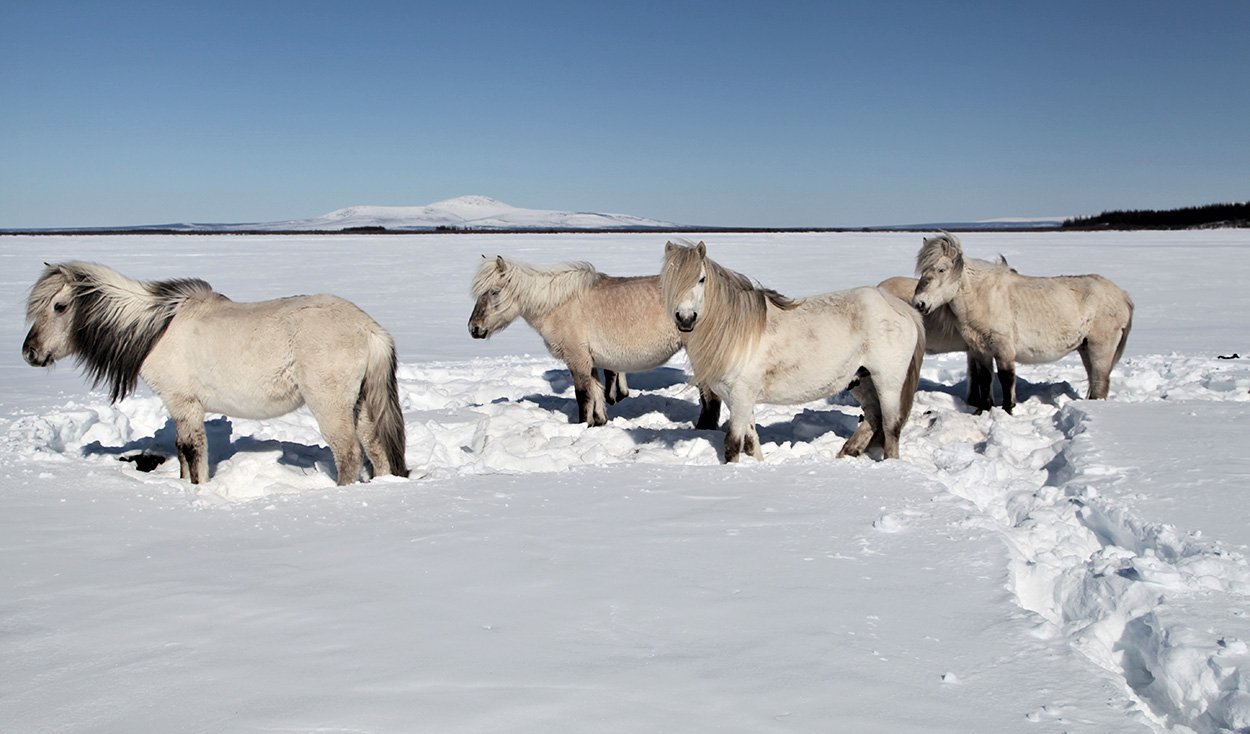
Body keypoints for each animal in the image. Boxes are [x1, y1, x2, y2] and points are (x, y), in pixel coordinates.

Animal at [22, 262, 409, 485]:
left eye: (59, 306)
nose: (29, 352)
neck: (156, 328)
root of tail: (369, 329)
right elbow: (182, 452)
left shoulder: (184, 404)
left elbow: (192, 452)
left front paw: (197, 489)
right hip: (360, 404)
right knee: (376, 450)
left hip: (331, 406)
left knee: (349, 454)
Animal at [468, 255, 721, 429]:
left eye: (494, 291)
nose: (474, 328)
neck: (560, 304)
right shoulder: (591, 361)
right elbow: (597, 392)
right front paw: (598, 422)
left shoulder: (577, 359)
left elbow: (583, 395)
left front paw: (582, 425)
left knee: (710, 396)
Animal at [661, 241, 925, 462]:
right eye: (667, 280)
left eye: (701, 279)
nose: (685, 319)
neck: (736, 332)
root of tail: (900, 307)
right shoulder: (736, 398)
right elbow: (751, 441)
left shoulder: (741, 395)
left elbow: (733, 444)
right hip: (861, 380)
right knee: (874, 417)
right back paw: (846, 453)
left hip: (887, 381)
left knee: (891, 425)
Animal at [911, 233, 1134, 414]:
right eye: (923, 271)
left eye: (941, 269)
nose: (918, 303)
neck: (984, 297)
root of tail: (1122, 295)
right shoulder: (979, 350)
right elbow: (985, 379)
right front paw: (983, 410)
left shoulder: (1004, 349)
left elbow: (1006, 379)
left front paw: (1008, 410)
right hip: (1085, 349)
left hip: (1100, 350)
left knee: (1099, 382)